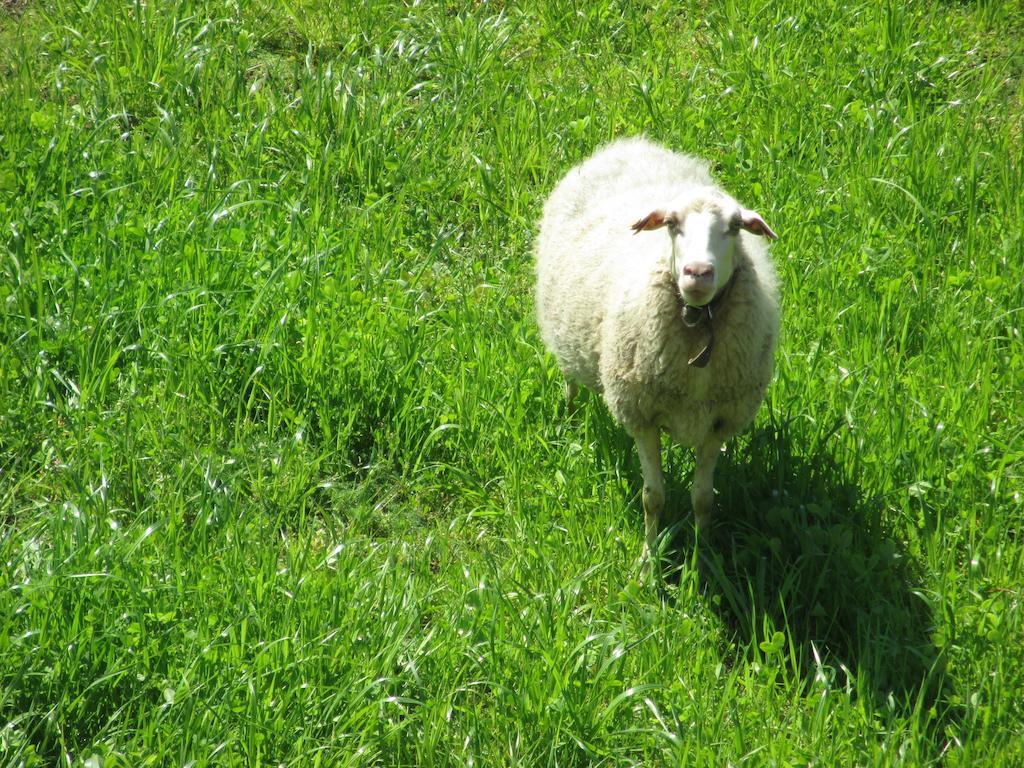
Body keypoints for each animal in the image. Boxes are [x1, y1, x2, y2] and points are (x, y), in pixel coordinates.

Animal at [532, 138, 778, 569]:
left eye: (734, 227)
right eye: (672, 224)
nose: (697, 273)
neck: (698, 328)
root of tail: (628, 145)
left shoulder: (719, 421)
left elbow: (703, 500)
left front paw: (700, 559)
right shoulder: (641, 415)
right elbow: (653, 499)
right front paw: (647, 565)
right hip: (564, 331)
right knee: (570, 378)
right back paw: (571, 413)